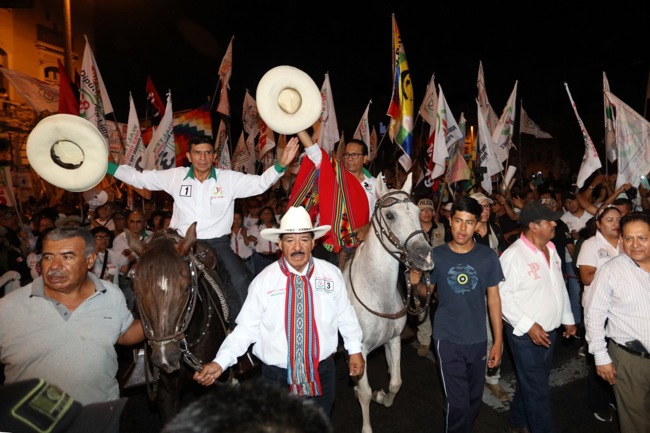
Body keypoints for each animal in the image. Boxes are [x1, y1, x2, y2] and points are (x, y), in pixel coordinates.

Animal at [342, 173, 435, 433]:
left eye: (418, 211)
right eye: (391, 215)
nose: (425, 256)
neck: (377, 293)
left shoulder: (393, 339)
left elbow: (395, 382)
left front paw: (382, 397)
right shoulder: (360, 349)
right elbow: (364, 393)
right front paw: (366, 425)